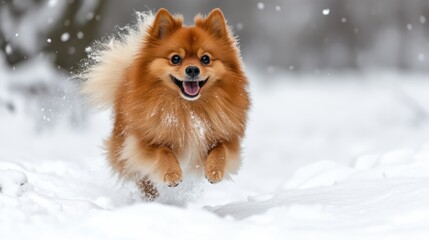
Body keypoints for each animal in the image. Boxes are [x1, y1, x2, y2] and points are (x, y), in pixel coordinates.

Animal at [82, 8, 249, 200]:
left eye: (205, 59)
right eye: (175, 59)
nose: (192, 69)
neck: (189, 108)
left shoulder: (226, 137)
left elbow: (220, 150)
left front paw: (214, 171)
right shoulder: (143, 141)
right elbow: (163, 152)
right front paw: (172, 174)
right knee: (141, 177)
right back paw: (152, 197)